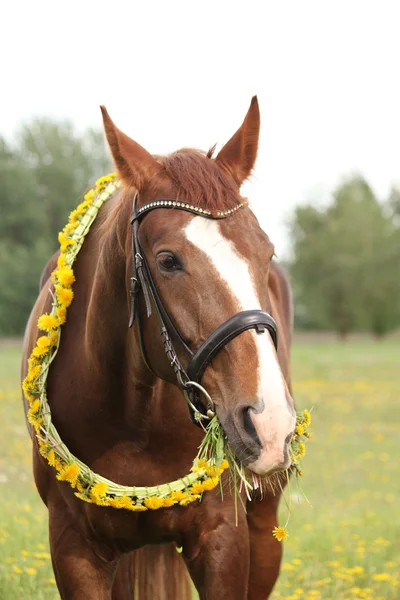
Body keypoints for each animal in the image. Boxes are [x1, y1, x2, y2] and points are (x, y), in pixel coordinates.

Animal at [22, 96, 296, 596]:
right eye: (168, 261)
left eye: (266, 252)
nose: (270, 423)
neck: (134, 418)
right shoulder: (73, 547)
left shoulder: (223, 539)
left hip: (264, 525)